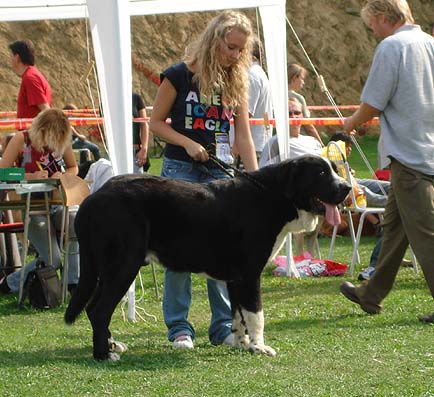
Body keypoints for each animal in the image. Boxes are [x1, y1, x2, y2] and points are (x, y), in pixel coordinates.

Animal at [64, 154, 350, 358]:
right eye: (320, 173)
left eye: (334, 169)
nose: (346, 187)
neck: (273, 195)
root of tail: (93, 198)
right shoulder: (250, 275)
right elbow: (256, 315)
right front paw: (259, 347)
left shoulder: (236, 279)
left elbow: (238, 315)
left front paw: (241, 344)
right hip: (124, 265)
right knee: (100, 310)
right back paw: (104, 355)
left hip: (109, 268)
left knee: (93, 308)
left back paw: (112, 345)